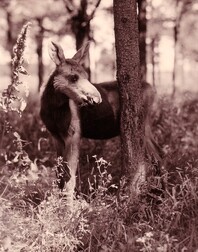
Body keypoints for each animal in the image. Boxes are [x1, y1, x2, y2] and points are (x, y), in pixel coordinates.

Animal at [40, 40, 161, 199]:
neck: (52, 110)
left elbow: (70, 177)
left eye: (86, 75)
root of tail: (155, 91)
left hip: (145, 125)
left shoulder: (74, 133)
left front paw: (68, 204)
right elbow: (60, 174)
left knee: (157, 155)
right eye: (74, 77)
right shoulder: (55, 136)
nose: (96, 98)